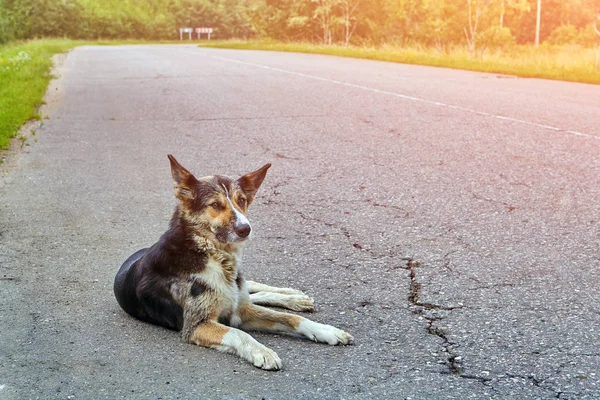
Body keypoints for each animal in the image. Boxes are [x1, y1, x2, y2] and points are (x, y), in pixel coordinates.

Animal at [113, 155, 352, 370]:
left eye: (242, 201)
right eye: (215, 205)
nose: (246, 229)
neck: (214, 255)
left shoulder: (240, 311)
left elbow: (290, 319)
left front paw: (326, 331)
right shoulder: (198, 325)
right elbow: (239, 333)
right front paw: (263, 352)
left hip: (241, 288)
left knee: (254, 289)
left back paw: (294, 296)